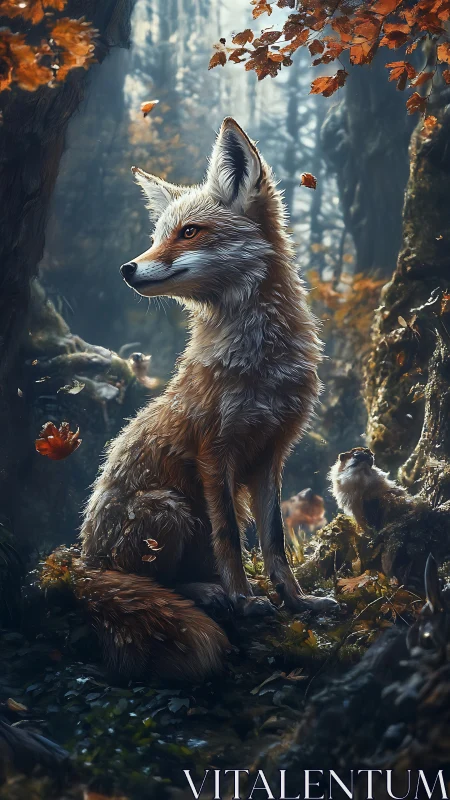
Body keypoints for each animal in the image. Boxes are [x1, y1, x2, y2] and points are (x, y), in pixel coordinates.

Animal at [79, 117, 338, 683]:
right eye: (157, 237)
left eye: (189, 232)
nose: (127, 268)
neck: (261, 365)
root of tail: (84, 563)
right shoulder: (214, 451)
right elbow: (231, 540)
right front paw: (245, 600)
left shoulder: (271, 455)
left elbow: (273, 540)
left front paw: (298, 601)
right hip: (168, 505)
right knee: (158, 584)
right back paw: (209, 591)